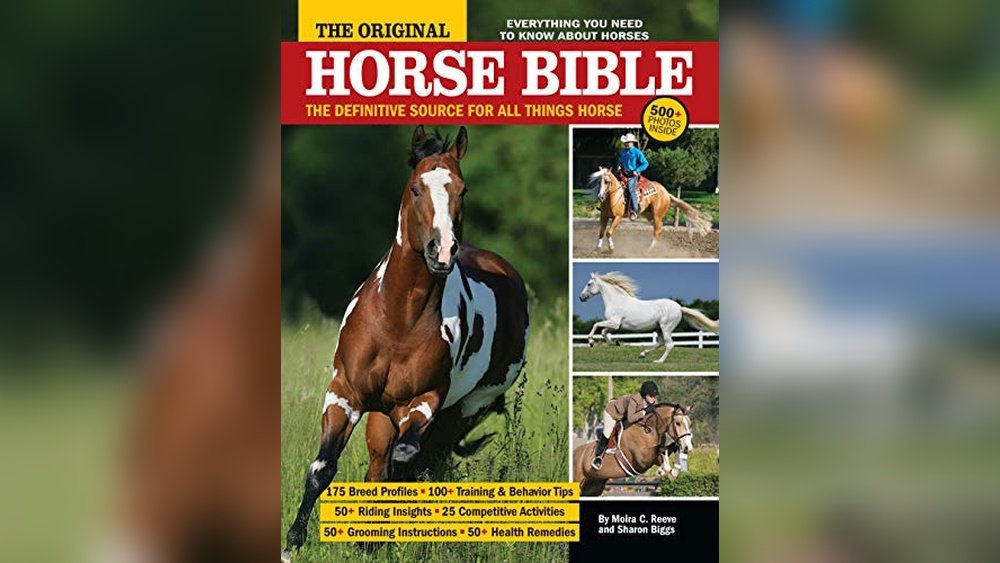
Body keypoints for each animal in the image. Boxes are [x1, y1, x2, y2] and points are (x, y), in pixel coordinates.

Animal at [283, 126, 529, 556]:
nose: (442, 250)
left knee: (423, 460)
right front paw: (293, 541)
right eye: (416, 188)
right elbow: (322, 468)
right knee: (381, 465)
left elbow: (406, 458)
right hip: (383, 414)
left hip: (467, 408)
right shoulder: (344, 392)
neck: (397, 321)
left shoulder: (423, 401)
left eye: (462, 190)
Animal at [578, 272, 718, 364]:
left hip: (666, 327)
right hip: (658, 328)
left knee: (669, 344)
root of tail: (679, 307)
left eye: (589, 284)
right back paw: (642, 354)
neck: (617, 301)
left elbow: (596, 325)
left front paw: (591, 342)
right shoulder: (615, 326)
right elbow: (603, 332)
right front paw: (615, 343)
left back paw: (659, 361)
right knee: (661, 342)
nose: (581, 297)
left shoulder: (614, 323)